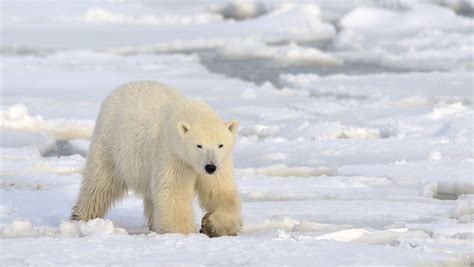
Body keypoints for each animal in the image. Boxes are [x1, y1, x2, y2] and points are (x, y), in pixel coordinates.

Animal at [71, 80, 241, 238]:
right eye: (198, 145)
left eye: (220, 145)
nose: (210, 167)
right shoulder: (172, 155)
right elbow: (173, 193)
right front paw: (184, 233)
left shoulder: (221, 162)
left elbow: (221, 192)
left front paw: (210, 226)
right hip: (110, 143)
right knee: (99, 184)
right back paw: (81, 218)